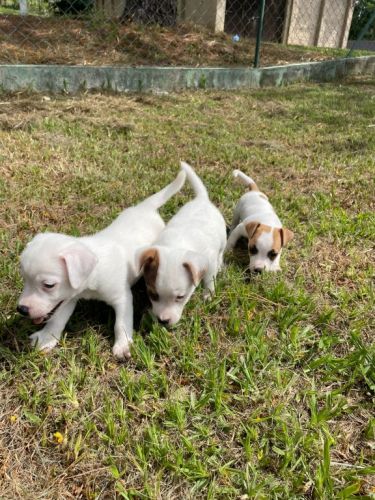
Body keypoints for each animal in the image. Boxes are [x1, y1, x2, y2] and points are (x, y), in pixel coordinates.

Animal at [17, 170, 187, 358]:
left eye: (48, 285)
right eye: (24, 279)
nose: (22, 309)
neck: (94, 271)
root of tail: (145, 207)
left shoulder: (122, 298)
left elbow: (121, 324)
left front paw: (123, 346)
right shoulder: (69, 298)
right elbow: (57, 319)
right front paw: (46, 338)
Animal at [137, 161, 226, 328]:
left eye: (180, 297)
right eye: (153, 294)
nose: (163, 321)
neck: (176, 245)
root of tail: (202, 199)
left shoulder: (209, 261)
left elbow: (209, 279)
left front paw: (208, 294)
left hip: (222, 240)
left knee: (221, 253)